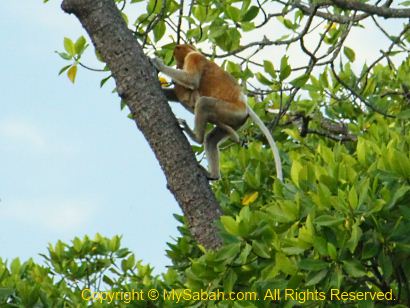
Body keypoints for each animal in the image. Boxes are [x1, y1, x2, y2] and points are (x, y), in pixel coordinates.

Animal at [152, 44, 284, 182]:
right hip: (236, 121)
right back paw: (213, 175)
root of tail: (244, 105)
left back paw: (196, 137)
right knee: (211, 139)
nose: (178, 66)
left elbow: (191, 80)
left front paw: (158, 64)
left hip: (230, 110)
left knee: (203, 103)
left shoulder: (194, 58)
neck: (195, 51)